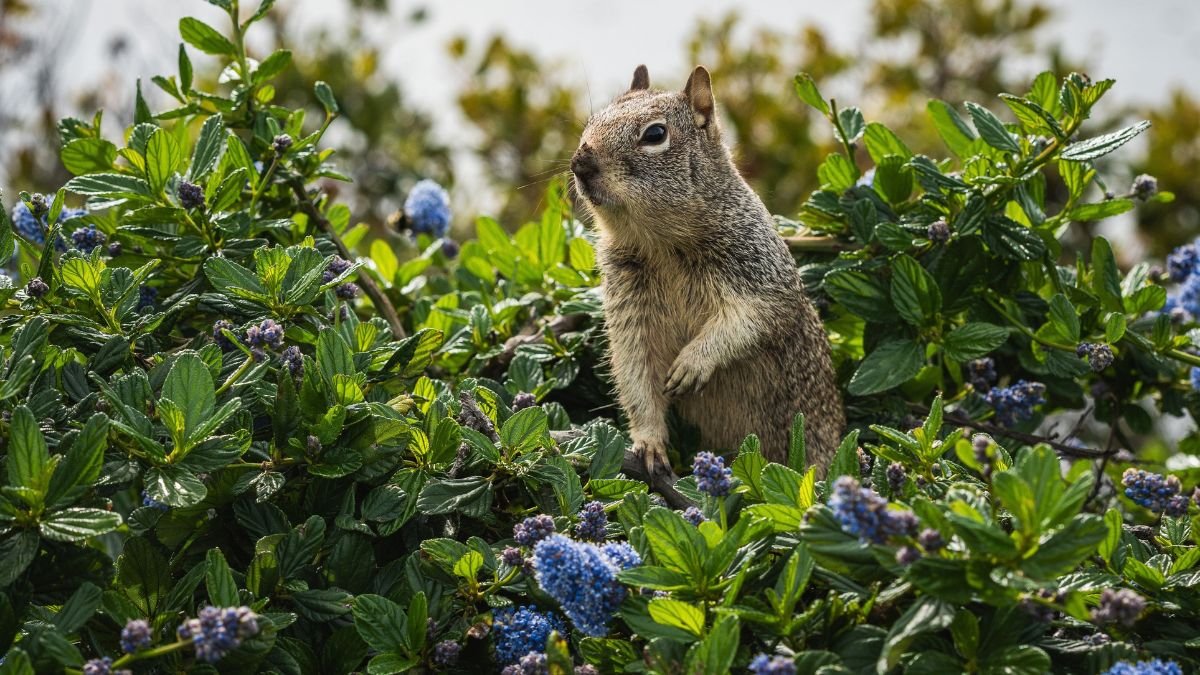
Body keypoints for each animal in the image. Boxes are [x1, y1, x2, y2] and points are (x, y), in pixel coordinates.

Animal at [570, 64, 845, 484]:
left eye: (655, 134)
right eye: (590, 122)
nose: (580, 163)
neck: (661, 243)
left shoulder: (761, 275)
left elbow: (748, 322)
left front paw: (692, 364)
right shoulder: (628, 309)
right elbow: (634, 374)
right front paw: (650, 442)